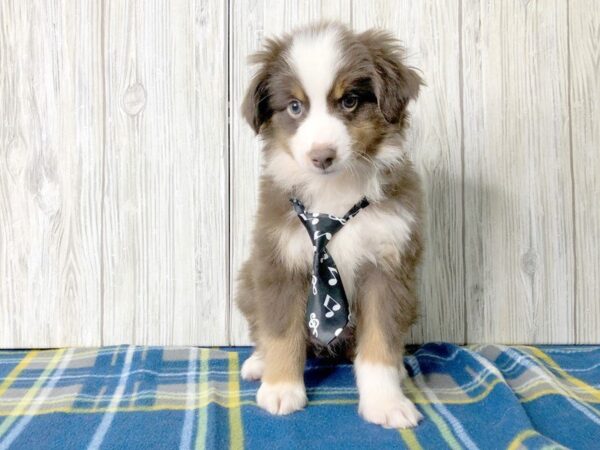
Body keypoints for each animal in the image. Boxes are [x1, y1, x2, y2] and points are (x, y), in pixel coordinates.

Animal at [234, 22, 426, 428]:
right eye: (295, 106)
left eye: (349, 101)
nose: (322, 156)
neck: (333, 192)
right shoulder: (278, 261)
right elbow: (281, 332)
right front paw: (281, 389)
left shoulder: (387, 265)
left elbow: (380, 341)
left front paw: (385, 402)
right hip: (247, 280)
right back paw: (258, 363)